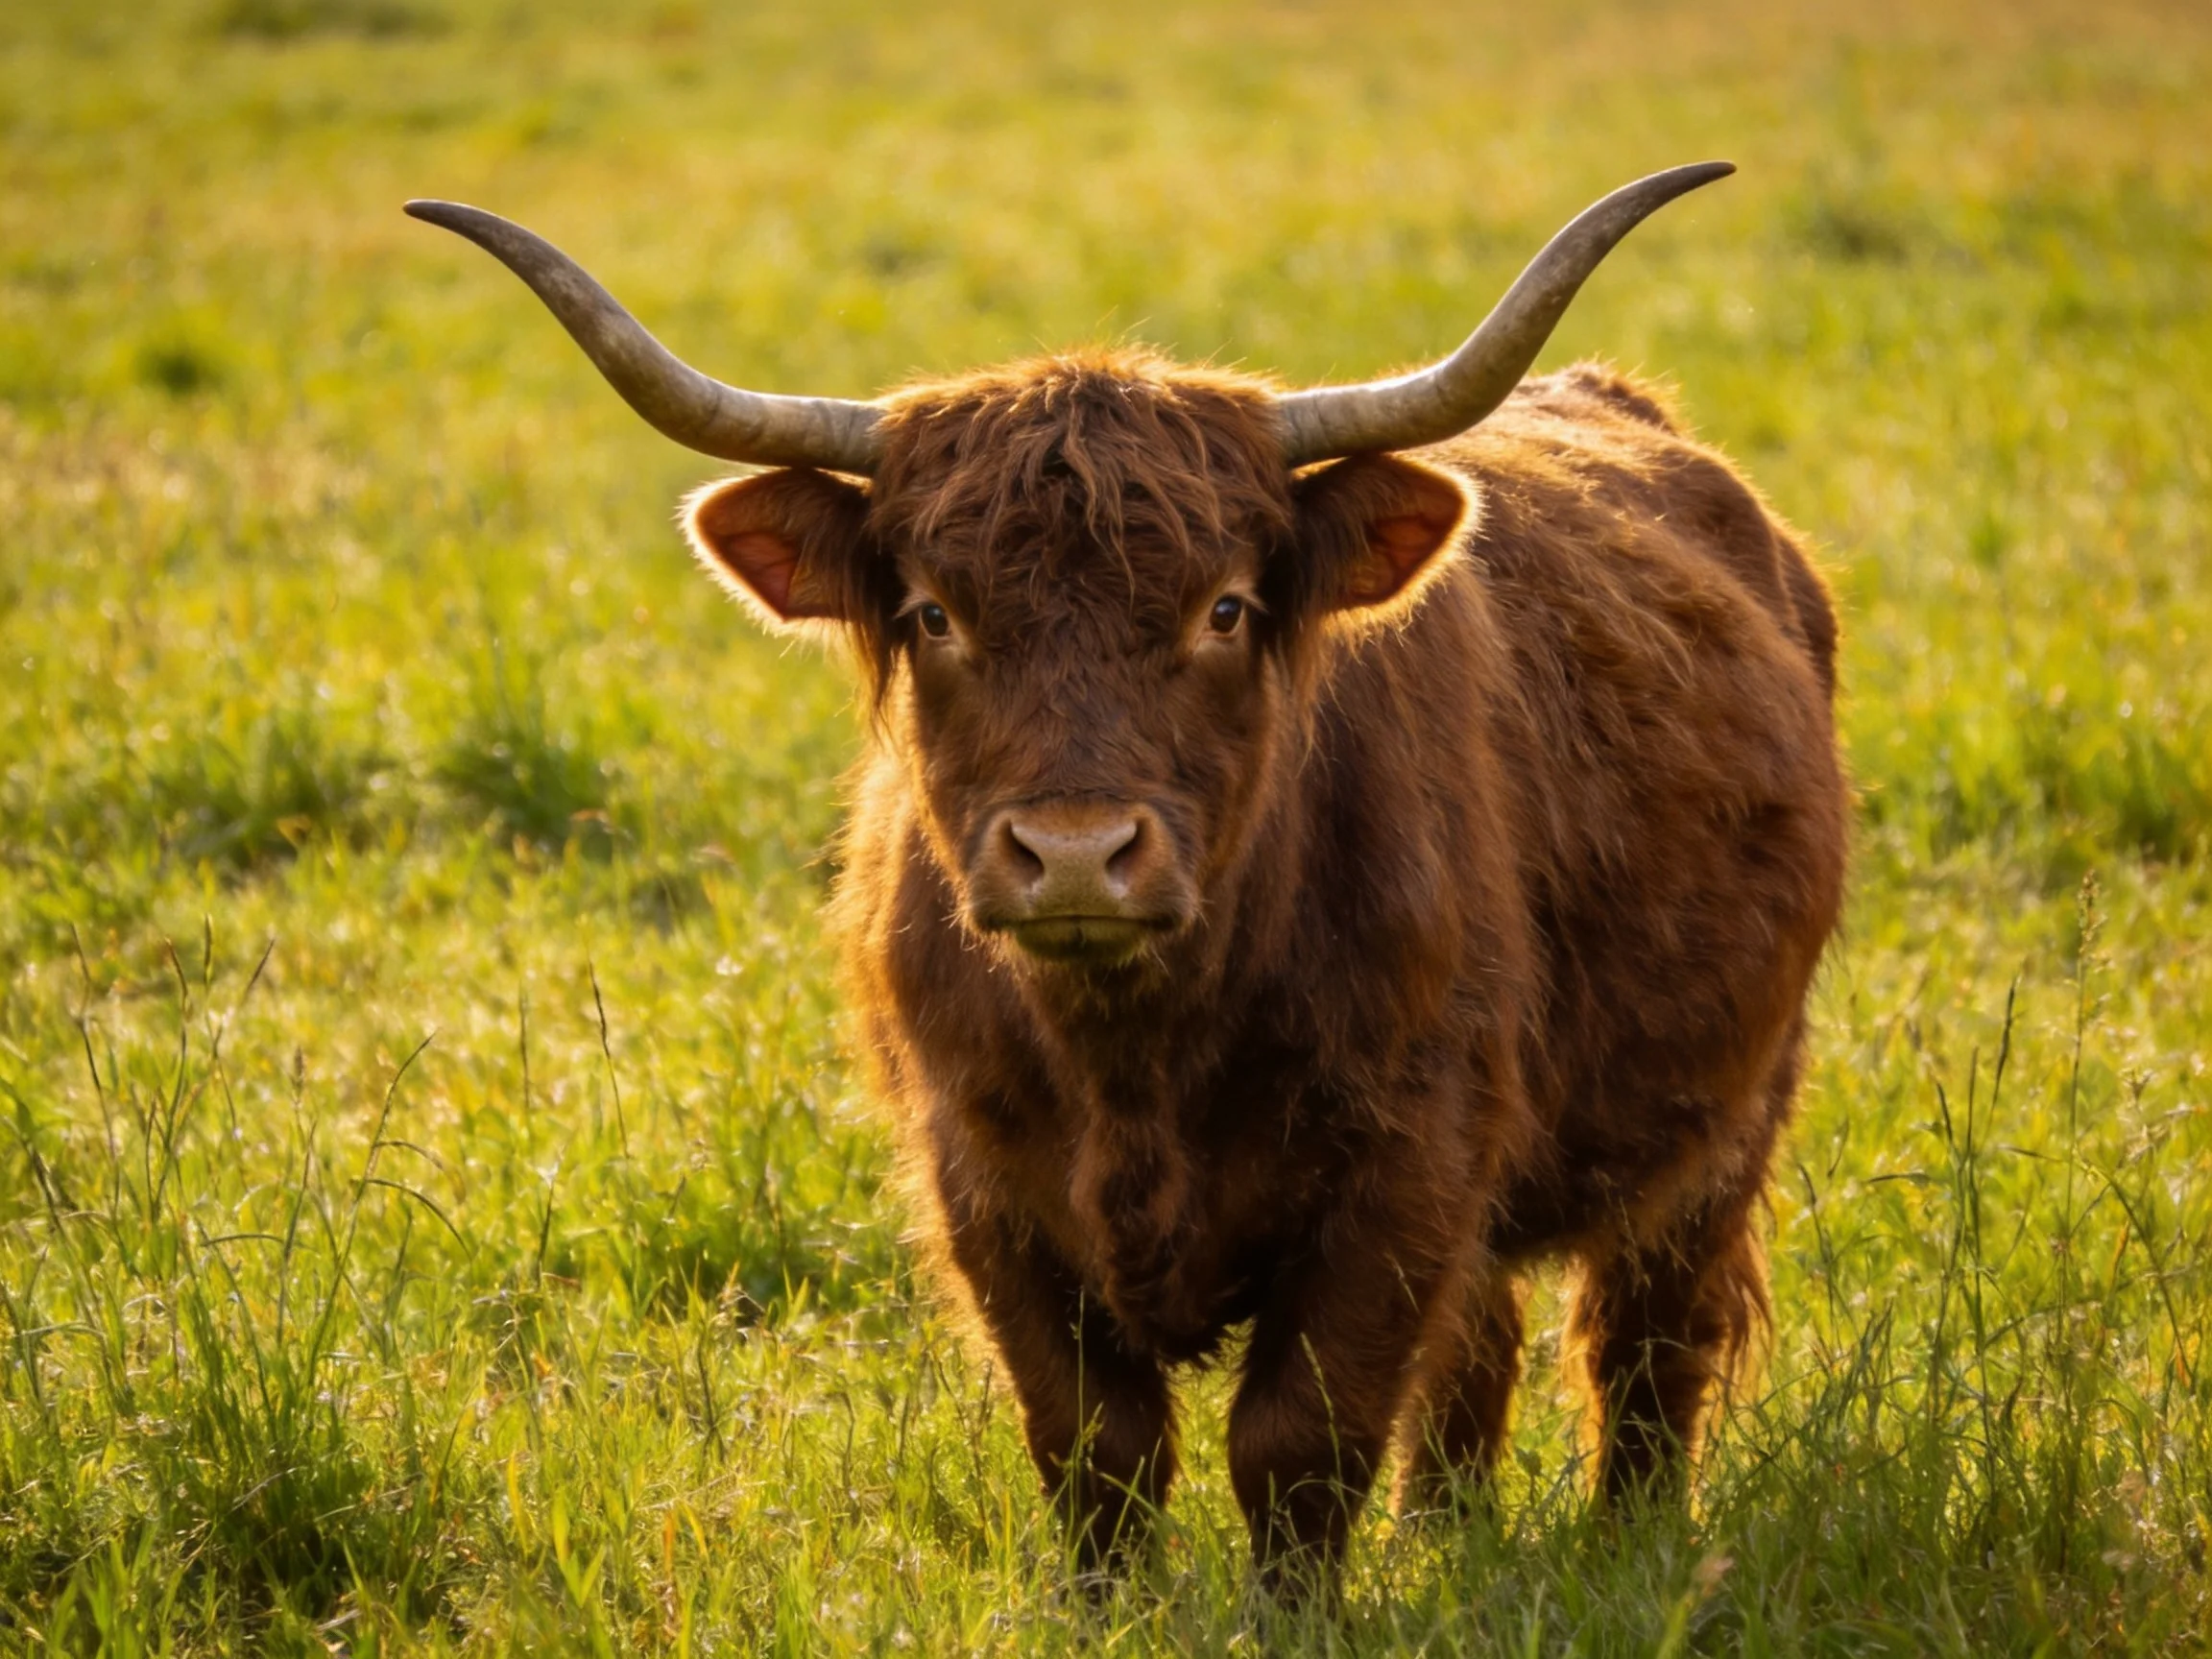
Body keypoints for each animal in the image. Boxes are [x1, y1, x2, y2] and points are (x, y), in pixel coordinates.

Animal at [408, 163, 1848, 1590]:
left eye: (1226, 607)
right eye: (934, 612)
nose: (1076, 854)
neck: (1136, 1058)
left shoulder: (1407, 1164)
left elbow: (1298, 1438)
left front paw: (1299, 1614)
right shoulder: (985, 1183)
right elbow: (1095, 1442)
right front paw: (1114, 1607)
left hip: (1731, 1109)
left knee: (1648, 1336)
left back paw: (1635, 1550)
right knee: (1484, 1343)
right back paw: (1446, 1534)